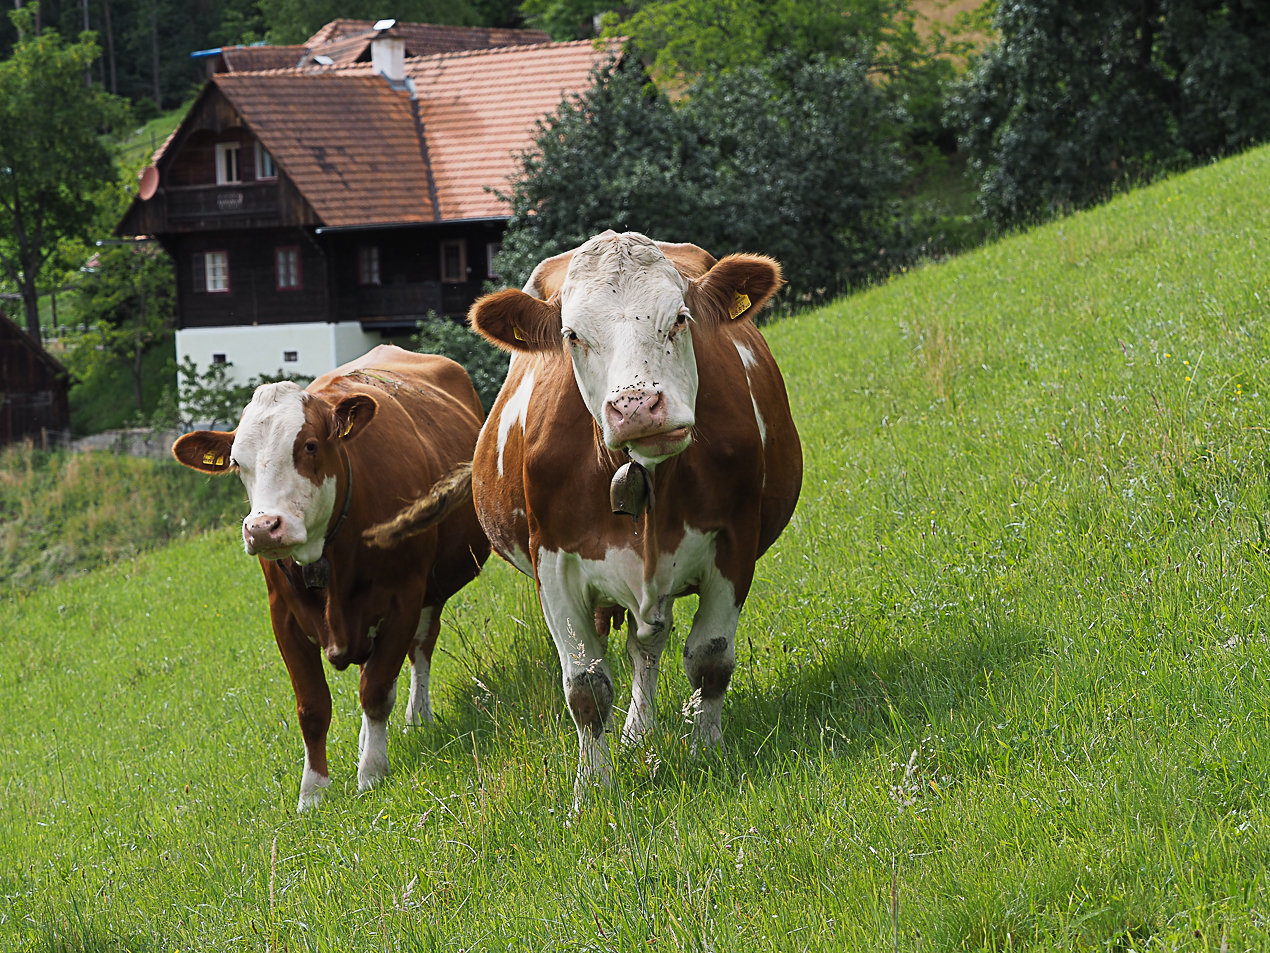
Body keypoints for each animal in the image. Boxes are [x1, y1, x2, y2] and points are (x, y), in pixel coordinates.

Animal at [172, 344, 489, 812]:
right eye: (236, 463)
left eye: (309, 445)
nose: (262, 527)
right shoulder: (283, 617)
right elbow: (313, 707)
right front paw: (313, 792)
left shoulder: (404, 597)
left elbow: (376, 690)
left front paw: (371, 772)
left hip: (433, 590)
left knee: (419, 650)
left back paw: (417, 716)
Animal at [462, 231, 801, 805]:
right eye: (572, 335)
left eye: (681, 318)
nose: (637, 406)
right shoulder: (553, 566)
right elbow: (586, 687)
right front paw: (590, 792)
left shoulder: (734, 543)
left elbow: (710, 659)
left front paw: (708, 752)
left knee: (648, 644)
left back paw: (640, 731)